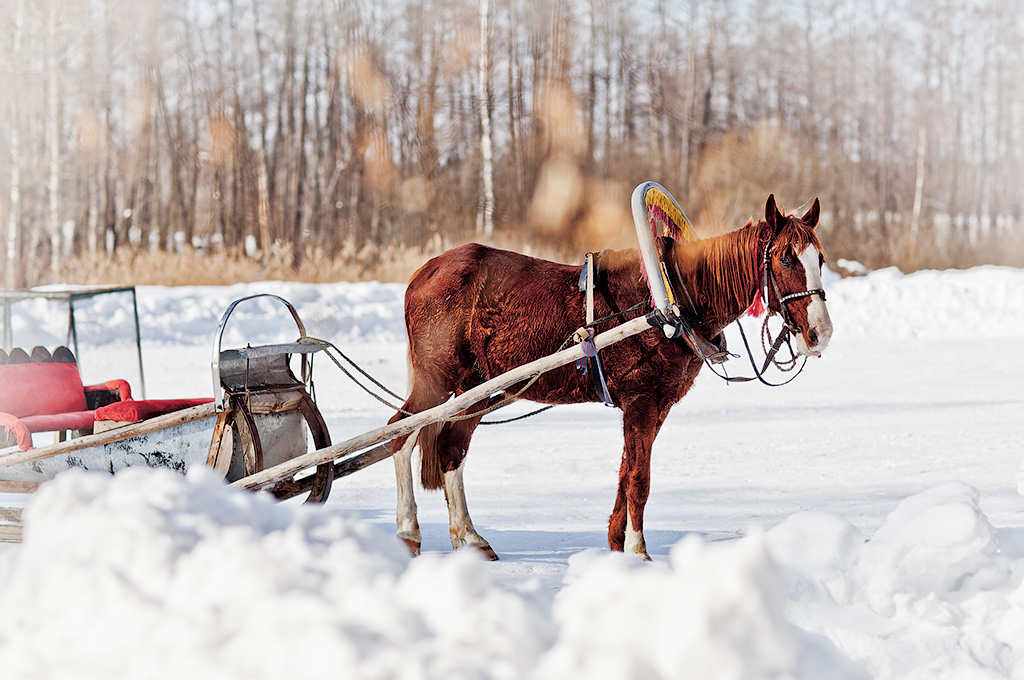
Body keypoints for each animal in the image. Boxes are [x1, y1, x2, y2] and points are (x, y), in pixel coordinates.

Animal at [385, 193, 831, 561]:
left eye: (820, 260)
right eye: (786, 258)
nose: (820, 333)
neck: (669, 301)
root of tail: (425, 271)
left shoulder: (657, 406)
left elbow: (624, 471)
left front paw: (617, 545)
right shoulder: (641, 401)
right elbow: (639, 478)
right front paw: (637, 550)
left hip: (478, 386)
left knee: (451, 448)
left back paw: (470, 537)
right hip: (438, 378)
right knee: (400, 431)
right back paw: (408, 530)